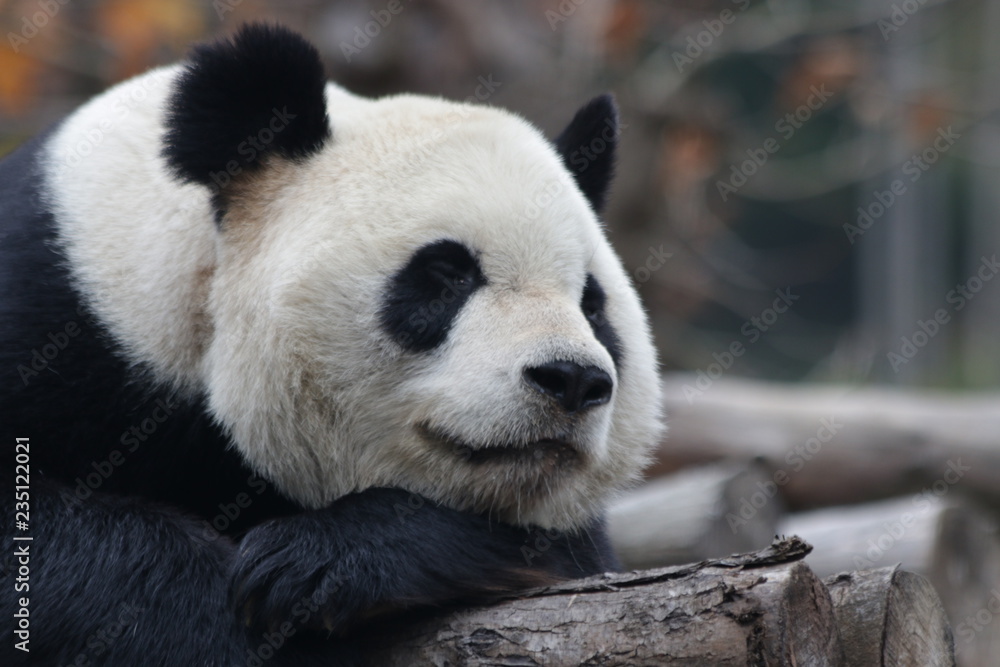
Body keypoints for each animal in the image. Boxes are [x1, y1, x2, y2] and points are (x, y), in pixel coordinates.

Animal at [0, 23, 662, 666]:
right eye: (447, 274)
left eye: (592, 304)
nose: (571, 380)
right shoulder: (61, 315)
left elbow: (563, 554)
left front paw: (321, 563)